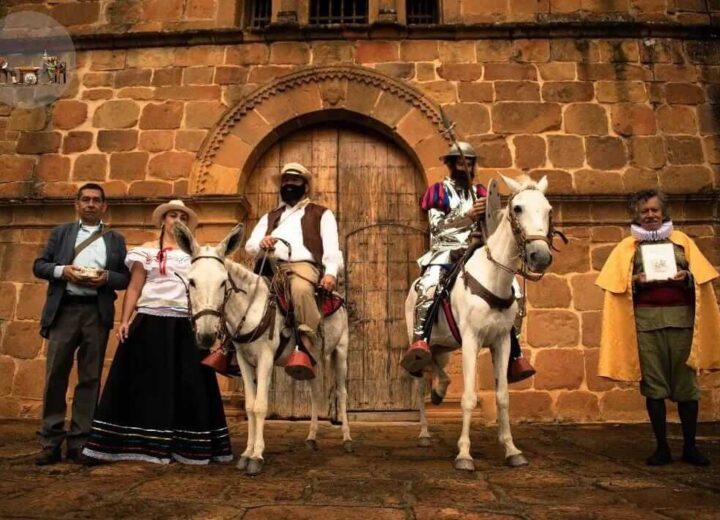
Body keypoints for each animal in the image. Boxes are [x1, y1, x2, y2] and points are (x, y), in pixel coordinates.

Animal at [174, 222, 354, 476]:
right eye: (191, 281)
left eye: (223, 282)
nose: (207, 335)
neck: (251, 308)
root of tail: (335, 295)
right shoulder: (243, 361)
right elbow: (249, 406)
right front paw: (246, 453)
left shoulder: (266, 359)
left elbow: (260, 406)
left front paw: (256, 456)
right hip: (310, 360)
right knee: (314, 393)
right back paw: (311, 437)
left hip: (341, 352)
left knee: (341, 392)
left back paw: (347, 439)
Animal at [404, 175, 556, 472]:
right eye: (518, 208)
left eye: (548, 210)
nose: (540, 257)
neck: (493, 277)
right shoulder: (471, 340)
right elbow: (469, 398)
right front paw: (464, 454)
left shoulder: (502, 342)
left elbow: (503, 397)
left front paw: (511, 449)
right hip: (422, 341)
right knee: (420, 379)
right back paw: (425, 432)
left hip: (445, 345)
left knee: (438, 367)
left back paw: (440, 389)